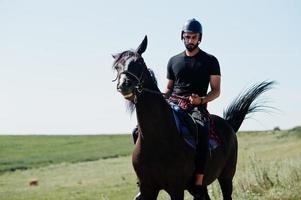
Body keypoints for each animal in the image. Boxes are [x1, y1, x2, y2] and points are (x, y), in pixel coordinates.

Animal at [111, 36, 274, 200]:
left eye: (139, 62)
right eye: (117, 67)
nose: (124, 85)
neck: (157, 138)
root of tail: (228, 124)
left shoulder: (176, 188)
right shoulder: (147, 188)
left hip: (226, 177)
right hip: (200, 187)